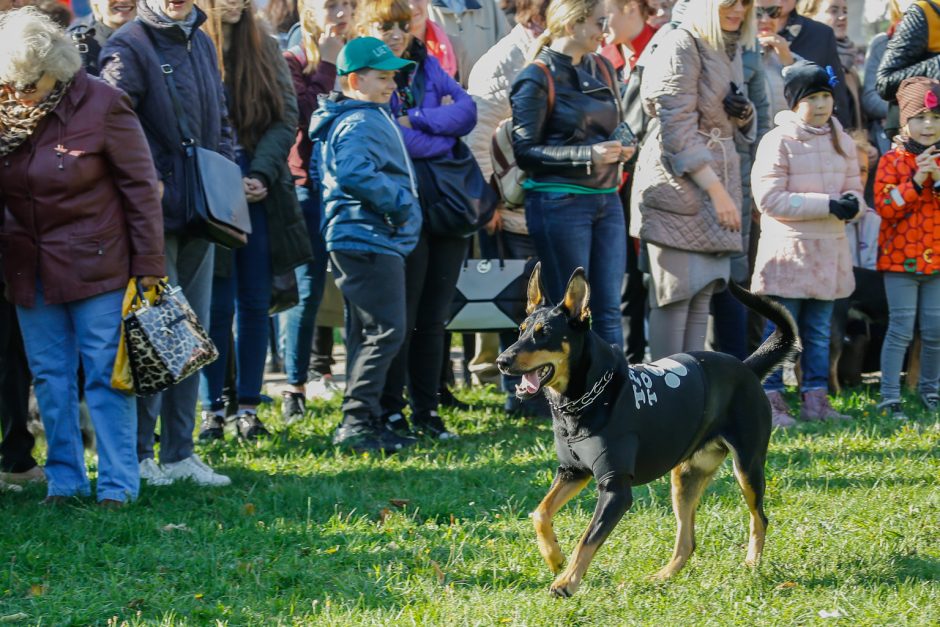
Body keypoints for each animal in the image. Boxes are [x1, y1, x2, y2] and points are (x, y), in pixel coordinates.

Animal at [496, 264, 796, 600]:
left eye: (544, 333)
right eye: (521, 330)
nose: (502, 361)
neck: (582, 399)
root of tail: (747, 368)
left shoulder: (615, 489)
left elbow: (587, 539)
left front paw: (567, 581)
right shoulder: (573, 471)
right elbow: (540, 512)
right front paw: (554, 556)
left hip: (747, 467)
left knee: (760, 519)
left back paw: (752, 563)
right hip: (686, 476)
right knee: (687, 540)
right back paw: (663, 576)